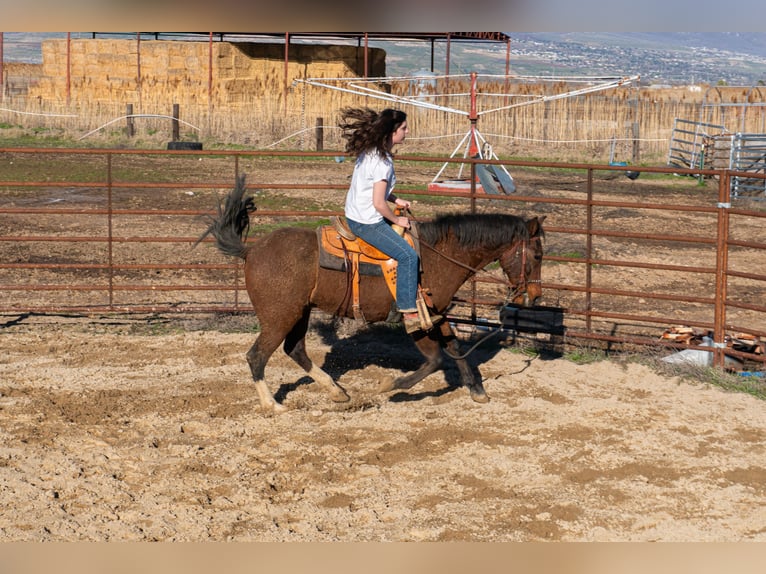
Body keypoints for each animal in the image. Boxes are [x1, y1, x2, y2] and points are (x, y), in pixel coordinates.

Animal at [198, 177, 544, 414]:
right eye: (538, 255)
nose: (535, 297)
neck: (438, 256)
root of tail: (251, 250)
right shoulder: (415, 316)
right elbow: (434, 360)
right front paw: (390, 385)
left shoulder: (437, 312)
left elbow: (456, 349)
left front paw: (476, 389)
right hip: (279, 316)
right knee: (257, 355)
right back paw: (273, 404)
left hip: (300, 312)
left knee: (295, 349)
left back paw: (335, 390)